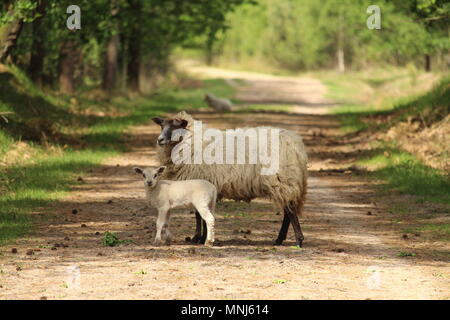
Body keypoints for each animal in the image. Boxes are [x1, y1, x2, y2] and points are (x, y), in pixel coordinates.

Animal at [153, 110, 308, 248]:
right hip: (286, 182)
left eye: (176, 126)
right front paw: (201, 237)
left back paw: (298, 241)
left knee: (290, 211)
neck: (192, 142)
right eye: (162, 125)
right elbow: (200, 215)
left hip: (283, 180)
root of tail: (296, 144)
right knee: (288, 211)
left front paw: (199, 238)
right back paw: (280, 240)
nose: (159, 140)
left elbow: (199, 215)